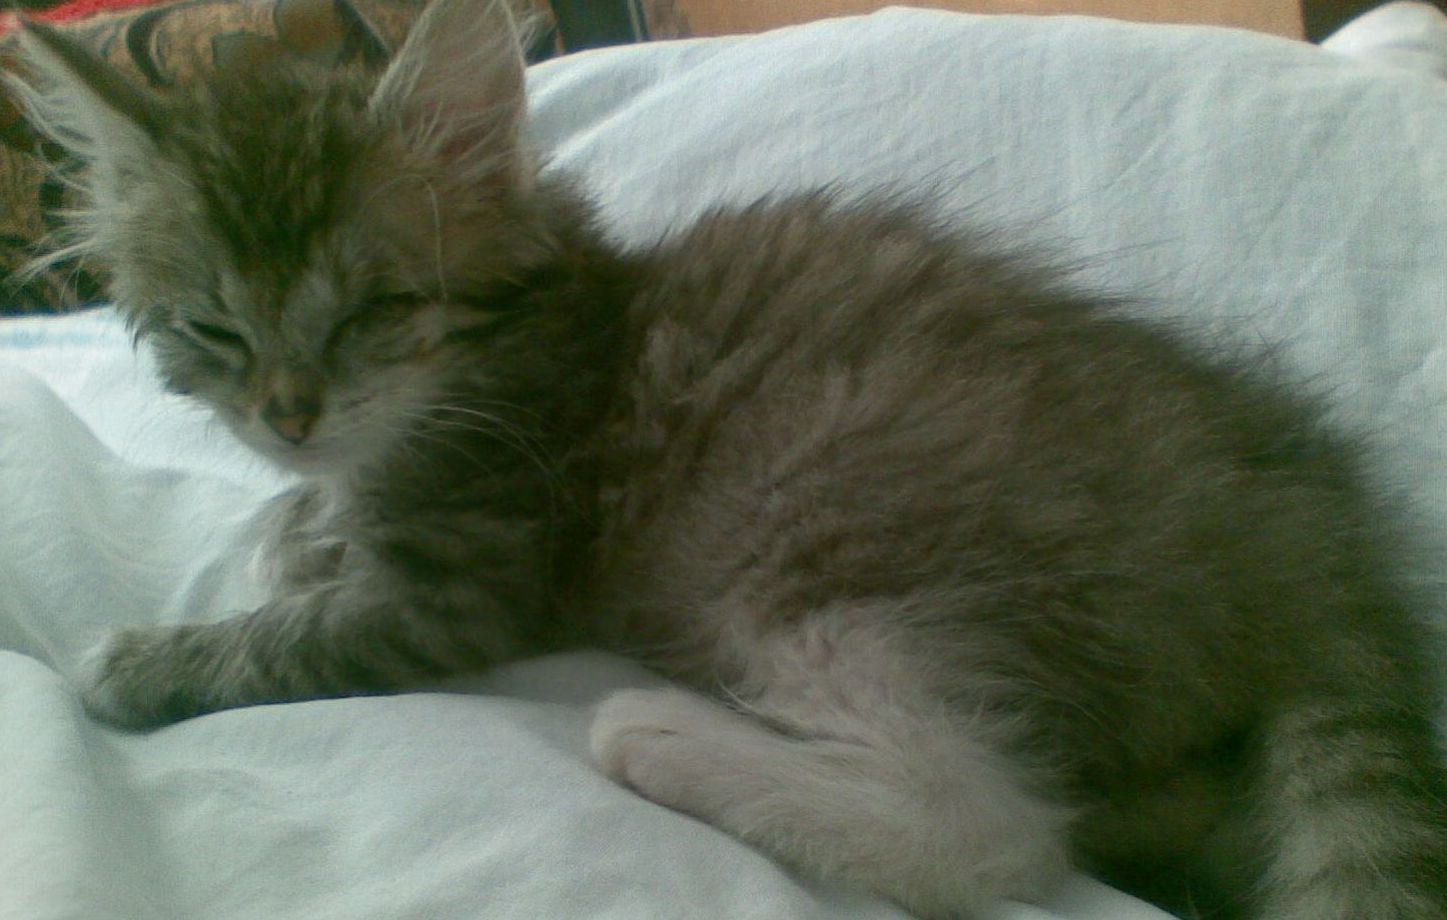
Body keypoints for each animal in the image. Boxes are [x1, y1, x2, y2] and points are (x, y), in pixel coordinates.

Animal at [12, 0, 1447, 918]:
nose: (288, 415)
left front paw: (140, 658)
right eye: (212, 329)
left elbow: (294, 634)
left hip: (817, 522)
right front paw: (296, 521)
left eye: (371, 310)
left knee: (999, 830)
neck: (501, 349)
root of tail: (1313, 547)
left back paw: (661, 738)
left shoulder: (467, 578)